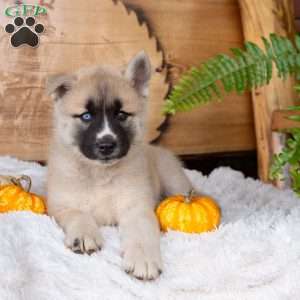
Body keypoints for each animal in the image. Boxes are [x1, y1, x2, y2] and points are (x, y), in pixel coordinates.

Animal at [47, 51, 192, 278]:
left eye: (121, 115)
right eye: (86, 116)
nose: (106, 144)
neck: (99, 173)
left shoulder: (136, 207)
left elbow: (141, 233)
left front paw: (143, 259)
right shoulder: (60, 205)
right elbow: (78, 214)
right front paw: (84, 235)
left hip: (174, 181)